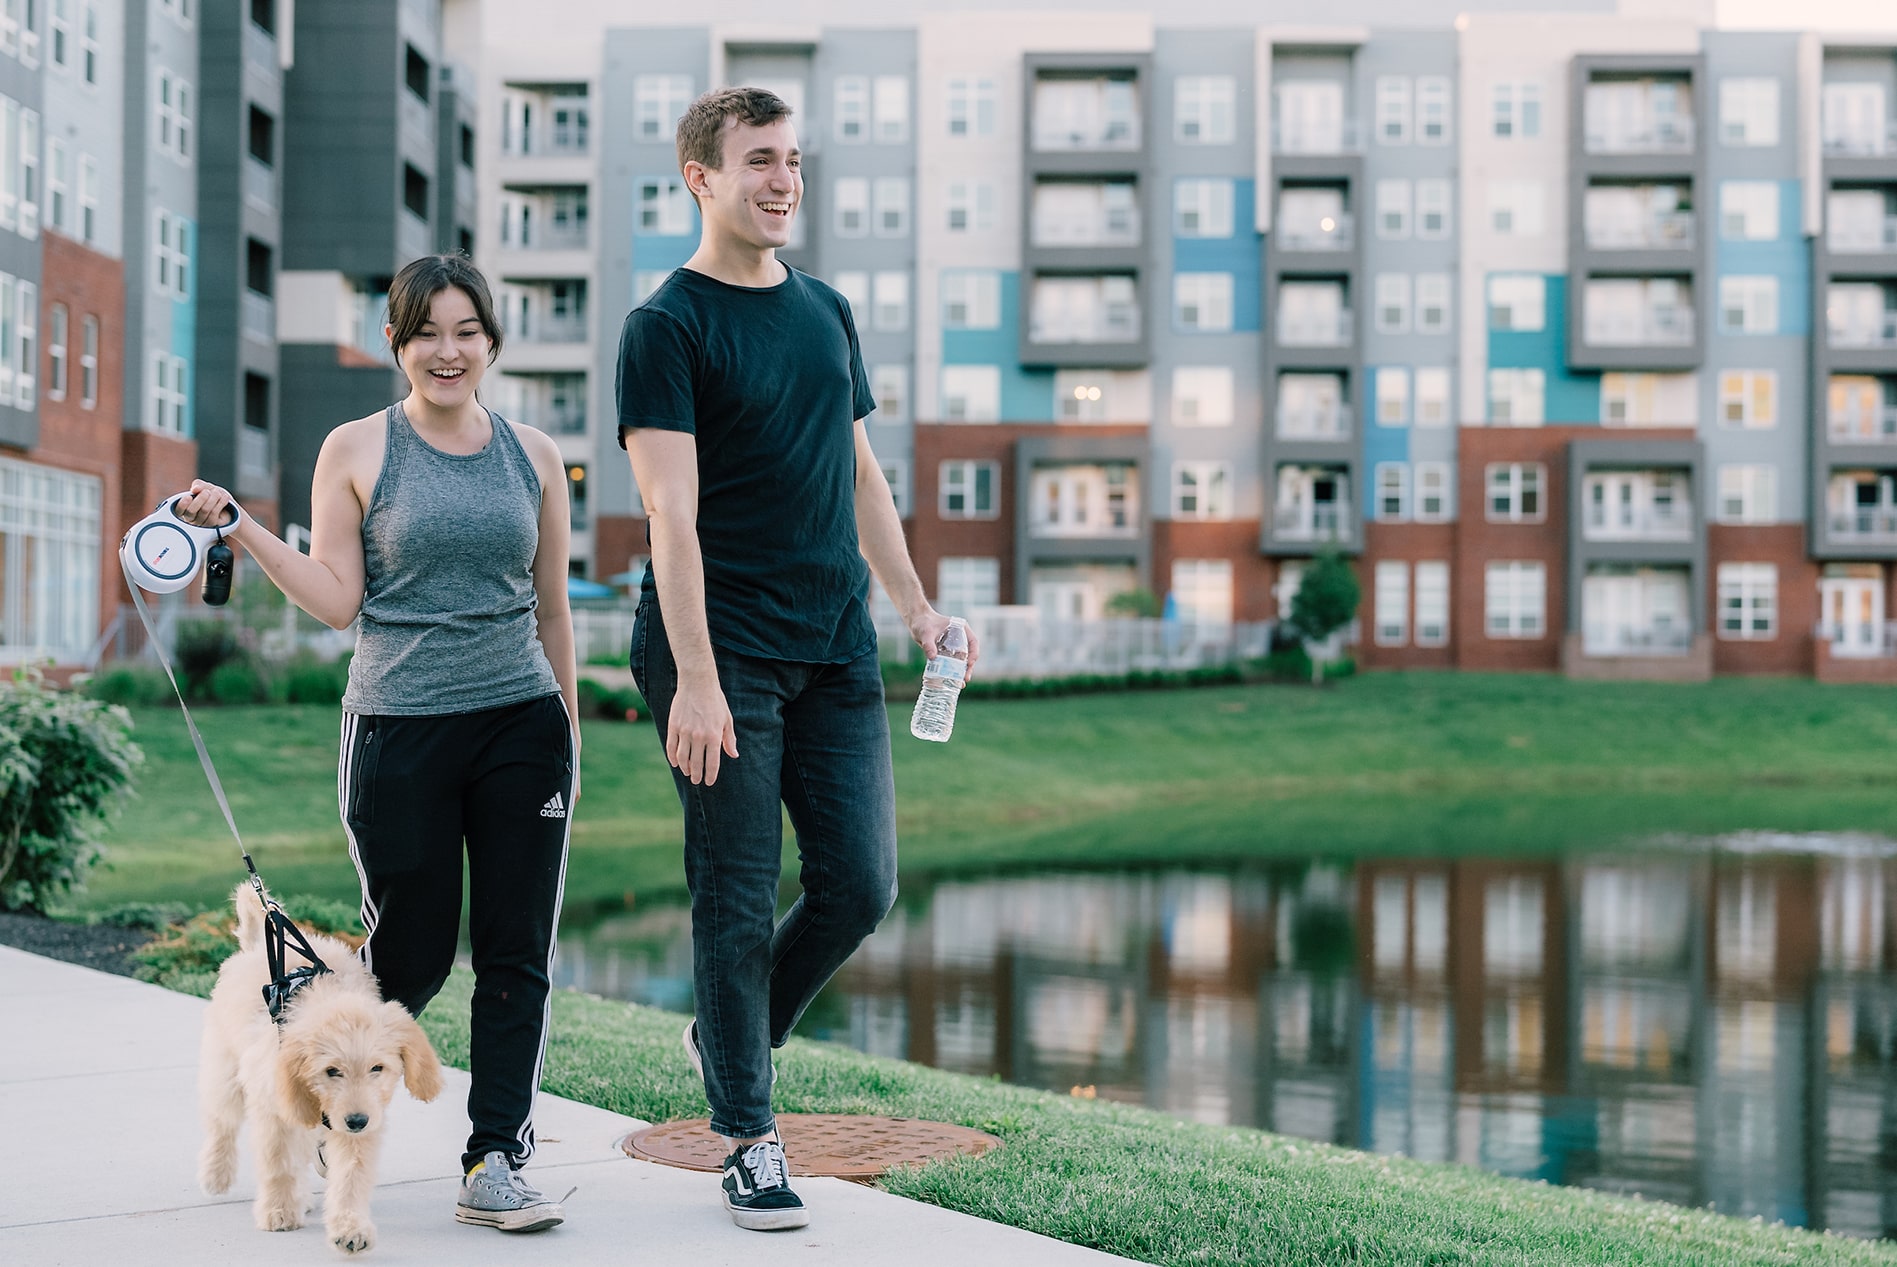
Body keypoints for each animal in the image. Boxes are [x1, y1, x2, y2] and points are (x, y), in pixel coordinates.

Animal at [197, 887, 443, 1251]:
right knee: (221, 1122)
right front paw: (279, 1211)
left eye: (378, 1068)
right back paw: (216, 1173)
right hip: (226, 1069)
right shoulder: (275, 1110)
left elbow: (351, 1176)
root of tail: (257, 946)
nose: (357, 1121)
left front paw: (350, 1227)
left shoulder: (360, 1120)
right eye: (331, 1071)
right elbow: (278, 1163)